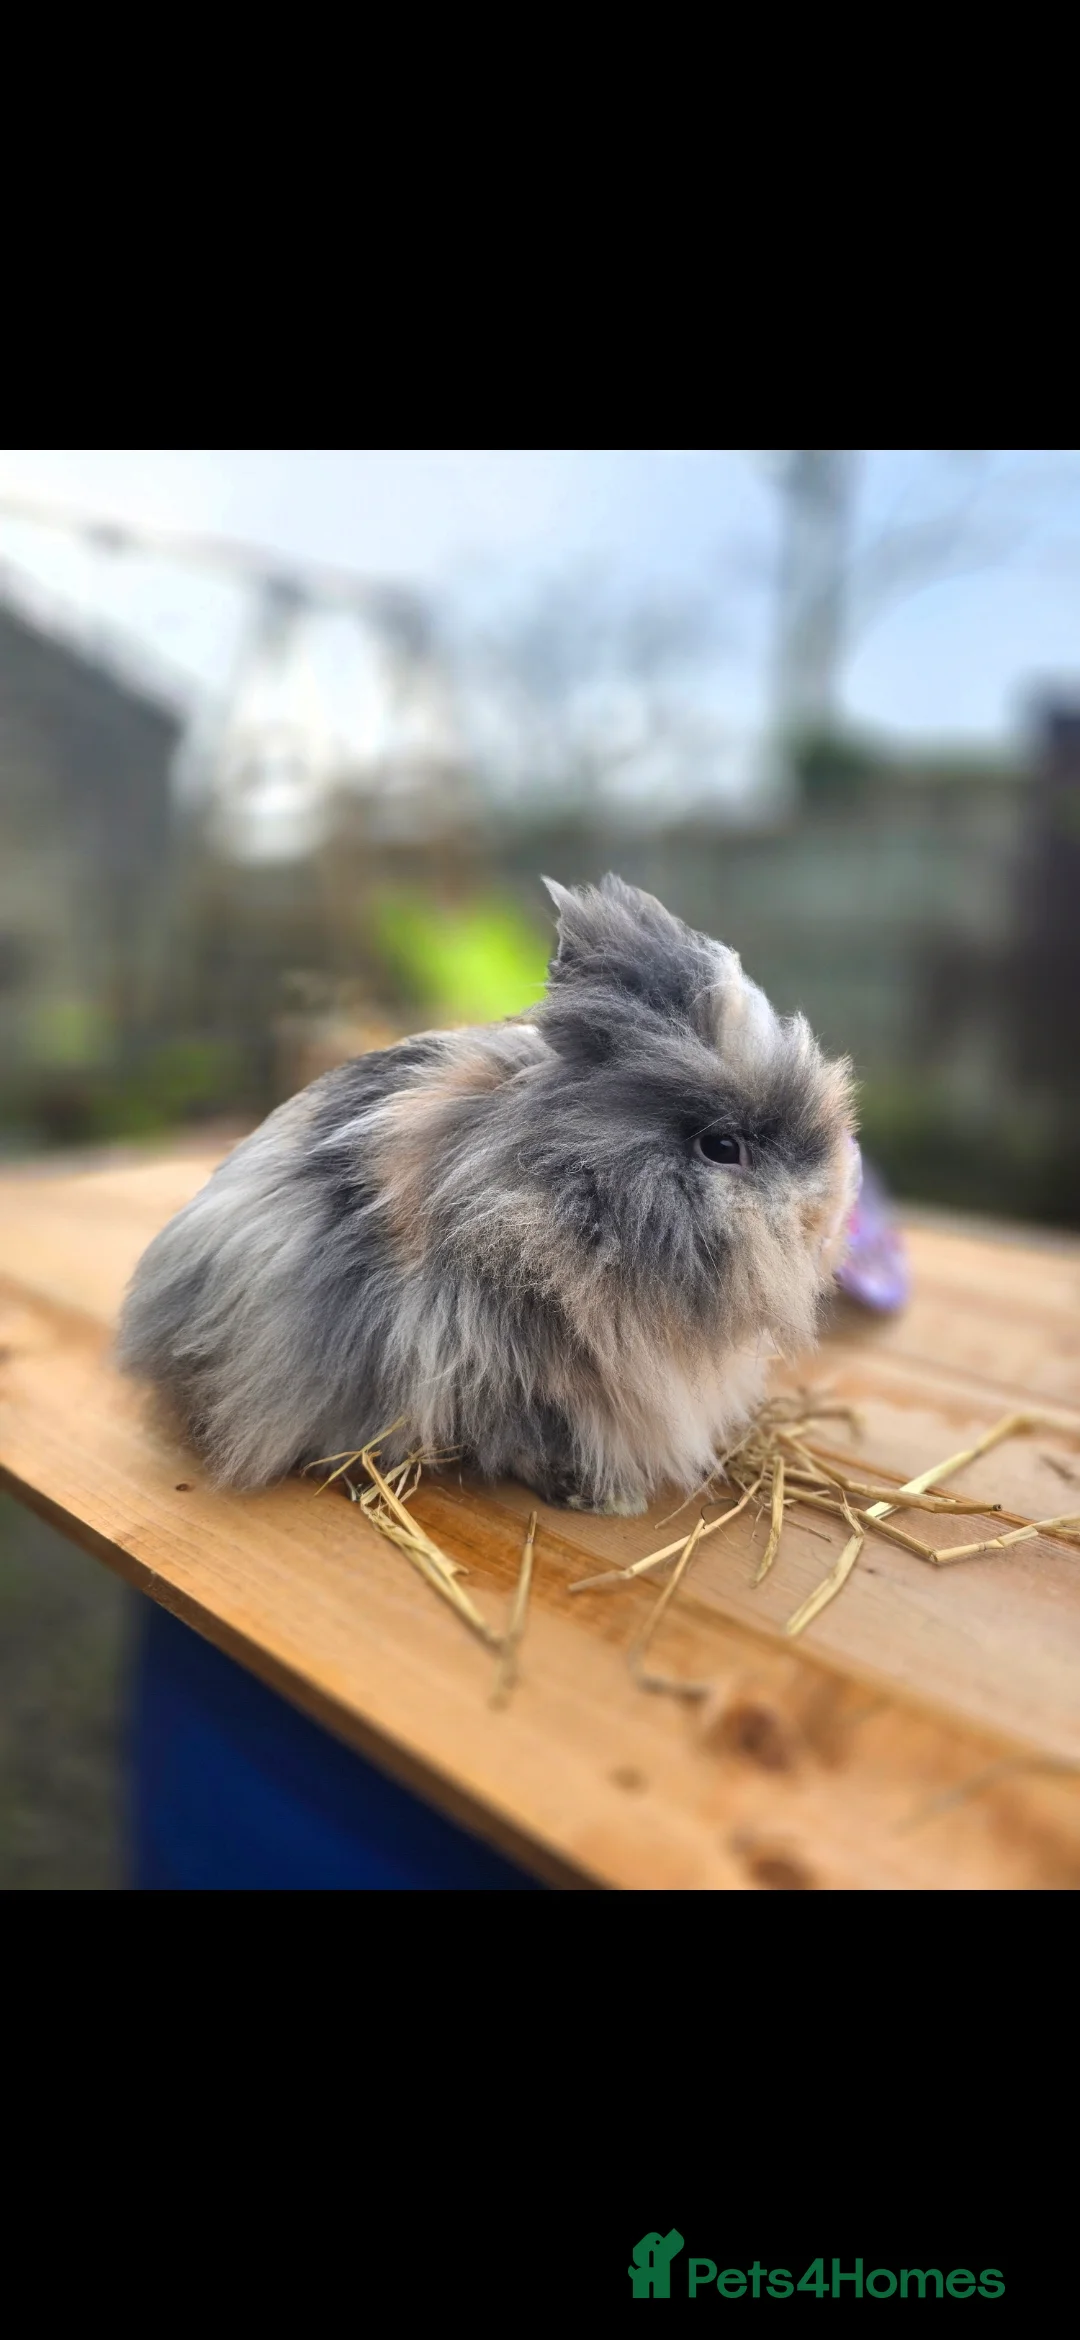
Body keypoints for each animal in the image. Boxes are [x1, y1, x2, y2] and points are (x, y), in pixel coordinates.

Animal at [116, 875, 858, 1516]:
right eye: (722, 1147)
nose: (827, 1215)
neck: (552, 1191)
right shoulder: (513, 1364)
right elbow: (540, 1434)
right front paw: (605, 1499)